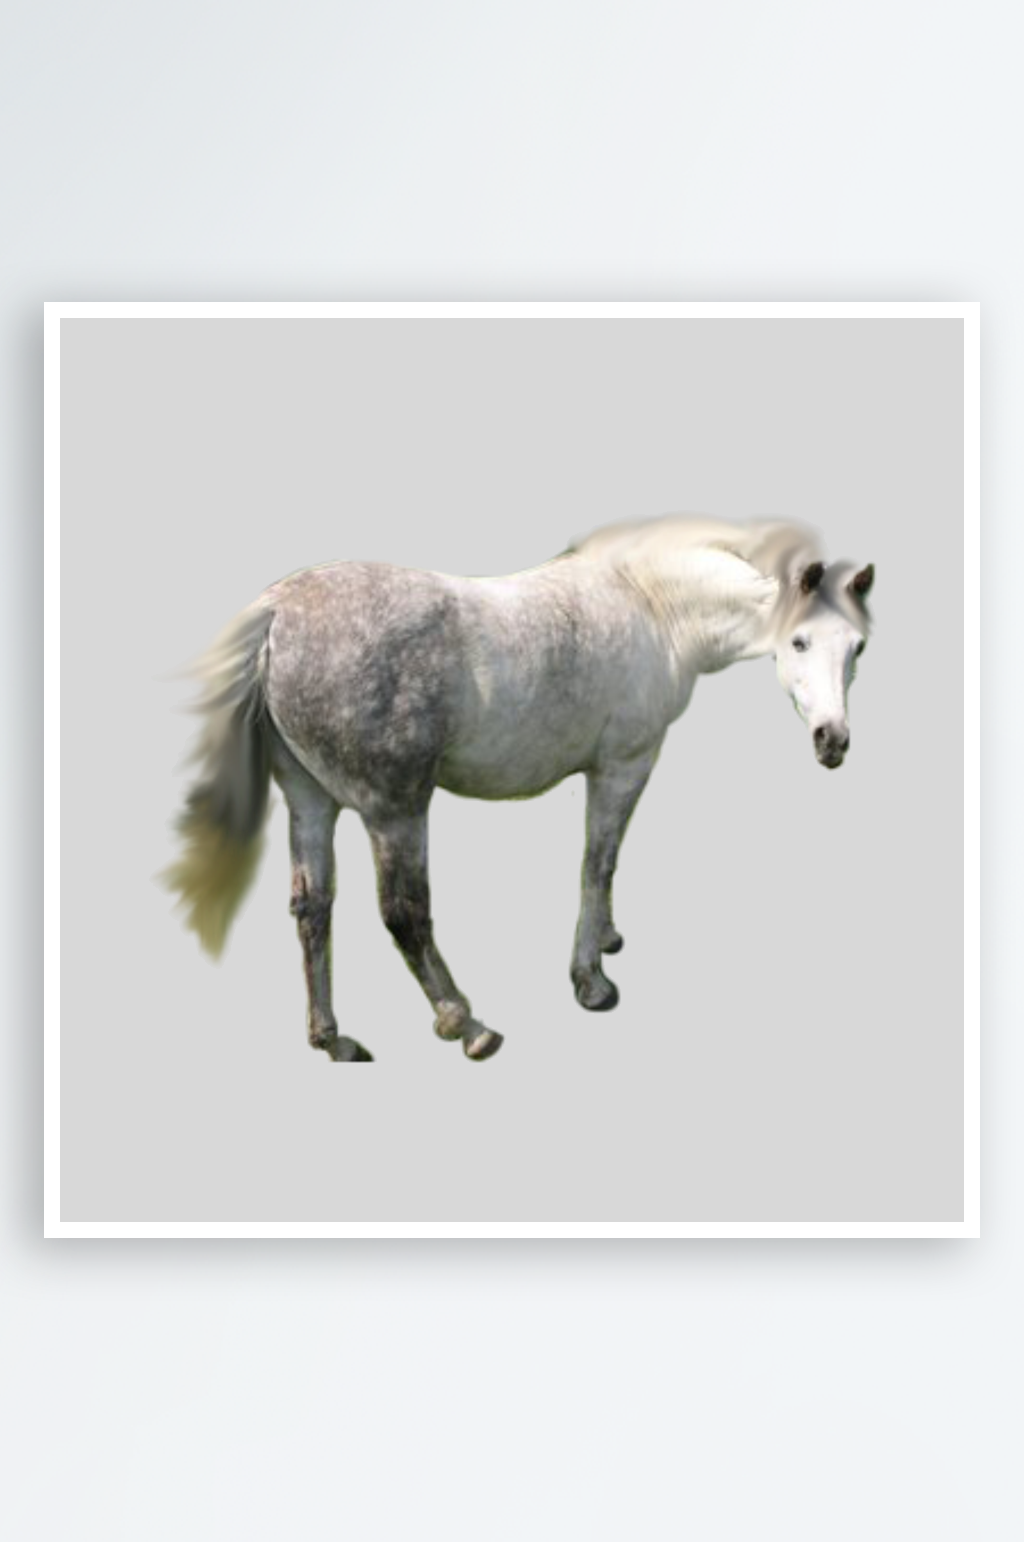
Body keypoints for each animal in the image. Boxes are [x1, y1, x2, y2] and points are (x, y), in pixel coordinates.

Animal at [162, 515, 874, 1063]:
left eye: (858, 647)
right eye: (798, 641)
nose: (833, 742)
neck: (652, 605)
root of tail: (277, 611)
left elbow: (605, 868)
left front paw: (607, 940)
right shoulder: (624, 765)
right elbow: (597, 863)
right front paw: (591, 981)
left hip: (311, 802)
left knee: (313, 908)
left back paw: (334, 1040)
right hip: (395, 812)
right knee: (404, 914)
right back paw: (466, 1025)